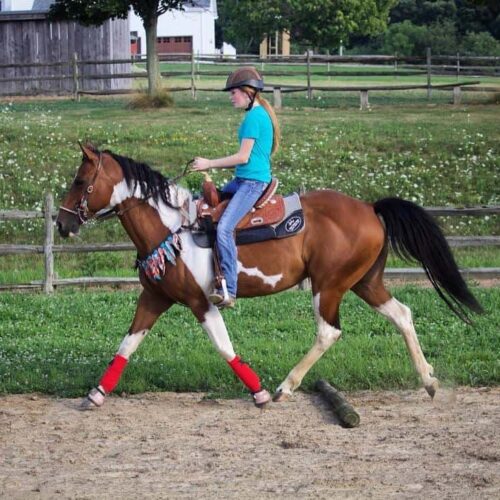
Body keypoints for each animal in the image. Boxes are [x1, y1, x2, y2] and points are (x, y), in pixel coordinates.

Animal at [56, 144, 482, 409]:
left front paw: (258, 392)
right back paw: (428, 380)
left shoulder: (200, 302)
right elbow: (126, 345)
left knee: (329, 331)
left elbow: (224, 346)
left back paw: (284, 387)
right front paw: (96, 394)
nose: (62, 224)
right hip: (365, 282)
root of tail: (370, 207)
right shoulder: (154, 298)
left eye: (79, 181)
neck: (170, 229)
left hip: (329, 286)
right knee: (402, 315)